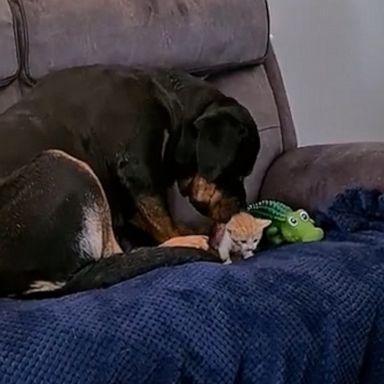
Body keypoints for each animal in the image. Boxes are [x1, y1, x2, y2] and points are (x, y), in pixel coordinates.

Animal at [0, 65, 260, 296]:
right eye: (237, 174)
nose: (241, 206)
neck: (170, 101)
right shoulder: (139, 171)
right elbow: (164, 223)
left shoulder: (129, 195)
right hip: (64, 166)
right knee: (115, 253)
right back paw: (191, 242)